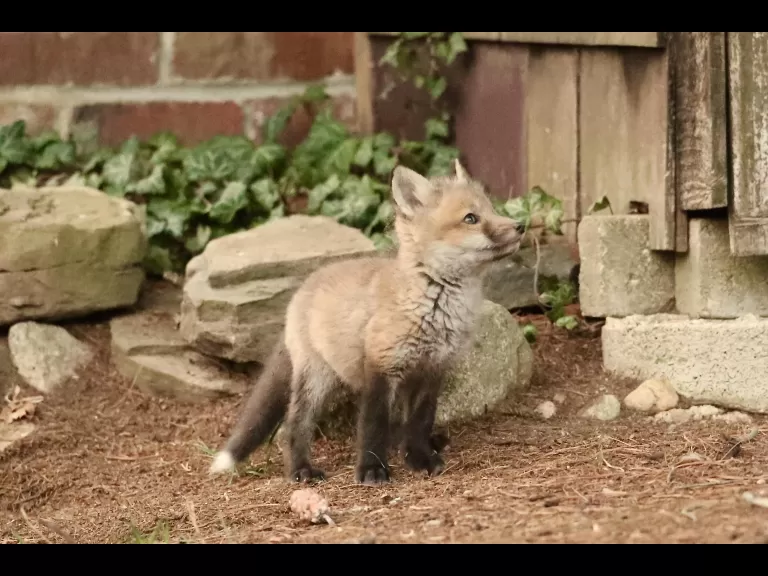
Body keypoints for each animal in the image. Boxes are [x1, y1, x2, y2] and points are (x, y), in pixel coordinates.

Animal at [208, 159, 525, 485]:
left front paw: (419, 457)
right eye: (470, 218)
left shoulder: (431, 371)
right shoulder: (380, 366)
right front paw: (372, 469)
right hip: (317, 379)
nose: (521, 226)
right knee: (295, 424)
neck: (434, 305)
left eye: (491, 208)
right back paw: (301, 469)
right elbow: (373, 425)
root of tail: (303, 288)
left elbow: (419, 423)